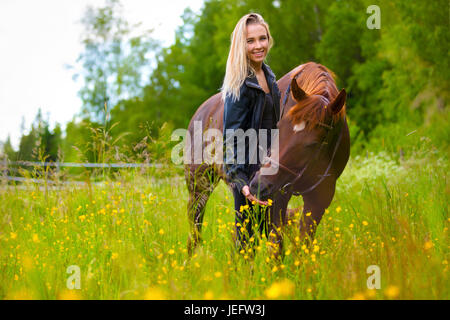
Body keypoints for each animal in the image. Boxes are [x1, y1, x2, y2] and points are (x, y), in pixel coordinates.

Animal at [185, 62, 350, 258]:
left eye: (313, 144)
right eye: (278, 126)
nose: (259, 185)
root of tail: (201, 111)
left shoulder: (320, 197)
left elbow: (303, 244)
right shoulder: (277, 197)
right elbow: (276, 249)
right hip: (200, 186)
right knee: (196, 226)